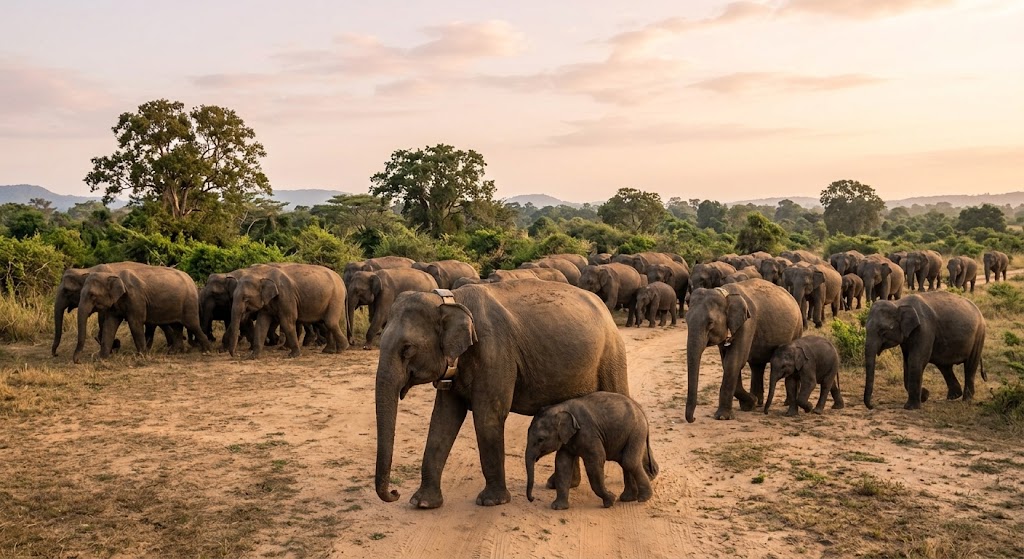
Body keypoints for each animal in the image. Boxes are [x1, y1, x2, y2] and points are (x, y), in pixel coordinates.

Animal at [73, 265, 210, 363]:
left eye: (92, 295)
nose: (78, 361)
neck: (115, 275)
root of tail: (192, 281)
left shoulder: (136, 298)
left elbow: (135, 324)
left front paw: (141, 356)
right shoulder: (115, 304)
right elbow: (109, 325)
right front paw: (100, 358)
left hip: (189, 303)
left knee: (192, 324)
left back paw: (207, 351)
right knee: (177, 325)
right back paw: (173, 352)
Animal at [373, 282, 630, 508]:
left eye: (407, 349)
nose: (394, 493)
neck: (451, 299)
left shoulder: (494, 352)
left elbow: (488, 416)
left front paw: (491, 502)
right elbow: (443, 419)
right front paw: (423, 503)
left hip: (612, 355)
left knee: (618, 393)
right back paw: (559, 484)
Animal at [525, 392, 657, 510]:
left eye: (541, 439)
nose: (532, 499)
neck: (561, 407)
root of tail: (640, 410)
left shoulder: (588, 432)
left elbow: (595, 462)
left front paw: (610, 500)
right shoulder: (566, 440)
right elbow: (562, 465)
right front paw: (558, 507)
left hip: (636, 430)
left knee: (629, 461)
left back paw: (642, 498)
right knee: (624, 462)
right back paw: (627, 498)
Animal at [685, 280, 804, 422]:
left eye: (710, 323)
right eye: (686, 320)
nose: (693, 419)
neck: (726, 294)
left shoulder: (747, 323)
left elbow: (734, 362)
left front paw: (723, 417)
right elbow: (727, 362)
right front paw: (749, 404)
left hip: (798, 329)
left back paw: (784, 403)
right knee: (757, 366)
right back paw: (758, 402)